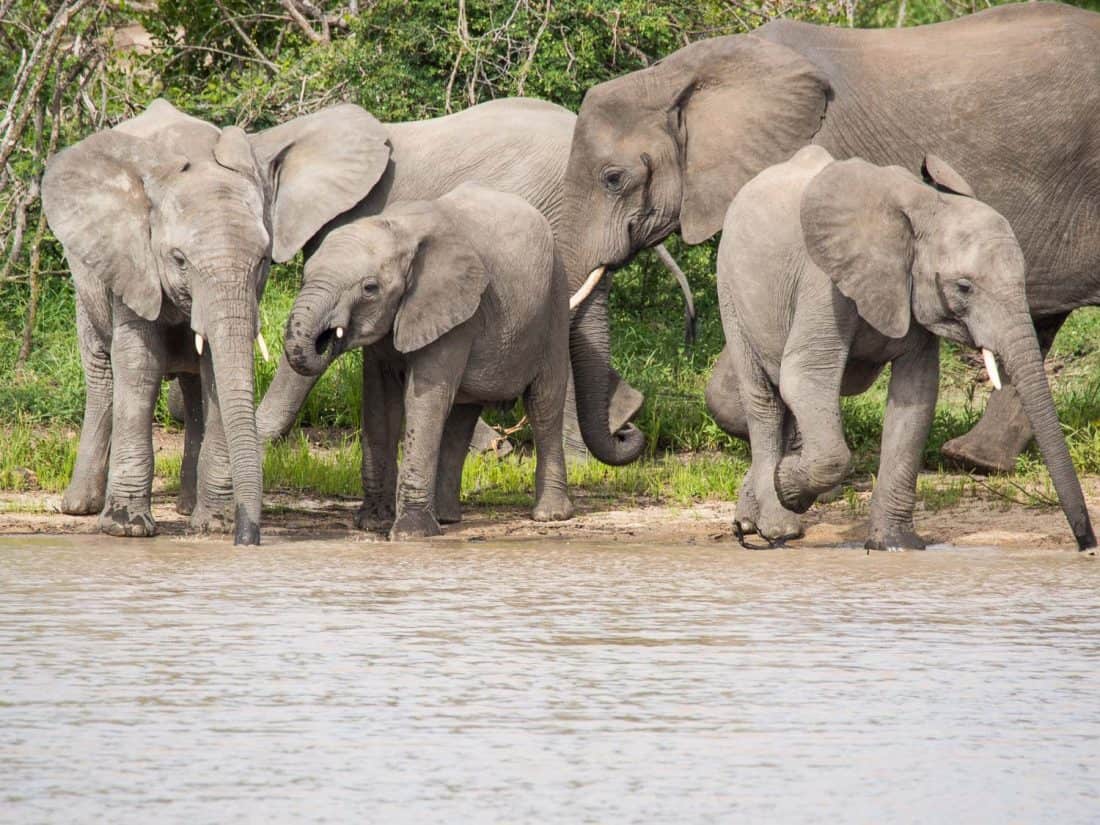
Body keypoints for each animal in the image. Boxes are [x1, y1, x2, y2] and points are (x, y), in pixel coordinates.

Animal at [39, 100, 391, 545]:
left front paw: (215, 524)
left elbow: (217, 371)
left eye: (263, 258)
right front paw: (127, 529)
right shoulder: (133, 262)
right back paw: (81, 507)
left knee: (193, 386)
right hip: (87, 276)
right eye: (178, 259)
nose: (248, 538)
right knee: (102, 374)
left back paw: (187, 508)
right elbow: (138, 364)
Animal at [283, 182, 572, 543]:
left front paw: (411, 534)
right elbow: (380, 403)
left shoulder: (453, 308)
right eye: (306, 275)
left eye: (369, 288)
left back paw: (551, 516)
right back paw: (448, 518)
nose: (326, 337)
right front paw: (374, 522)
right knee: (462, 416)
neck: (399, 229)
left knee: (544, 403)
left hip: (555, 302)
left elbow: (424, 400)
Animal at [717, 145, 1095, 552]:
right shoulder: (824, 283)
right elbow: (806, 377)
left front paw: (897, 545)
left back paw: (749, 524)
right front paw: (786, 484)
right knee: (765, 401)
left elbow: (916, 393)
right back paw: (776, 527)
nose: (1087, 544)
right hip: (730, 291)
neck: (924, 205)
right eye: (963, 287)